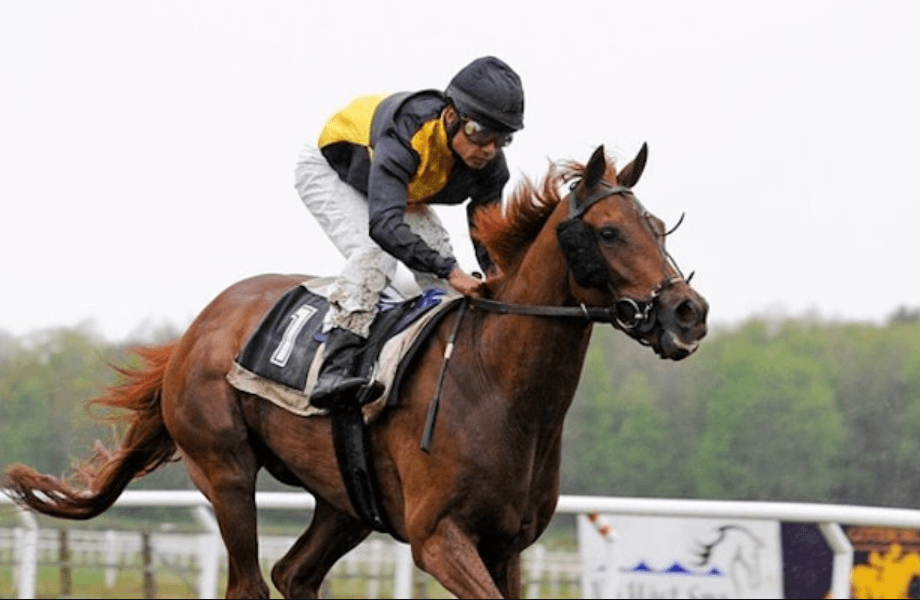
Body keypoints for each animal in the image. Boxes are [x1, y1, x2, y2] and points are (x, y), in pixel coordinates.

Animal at [3, 143, 708, 598]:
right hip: (224, 471)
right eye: (610, 232)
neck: (499, 388)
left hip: (345, 499)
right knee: (250, 583)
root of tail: (198, 329)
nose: (689, 312)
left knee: (293, 576)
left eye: (658, 227)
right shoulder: (439, 537)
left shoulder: (509, 544)